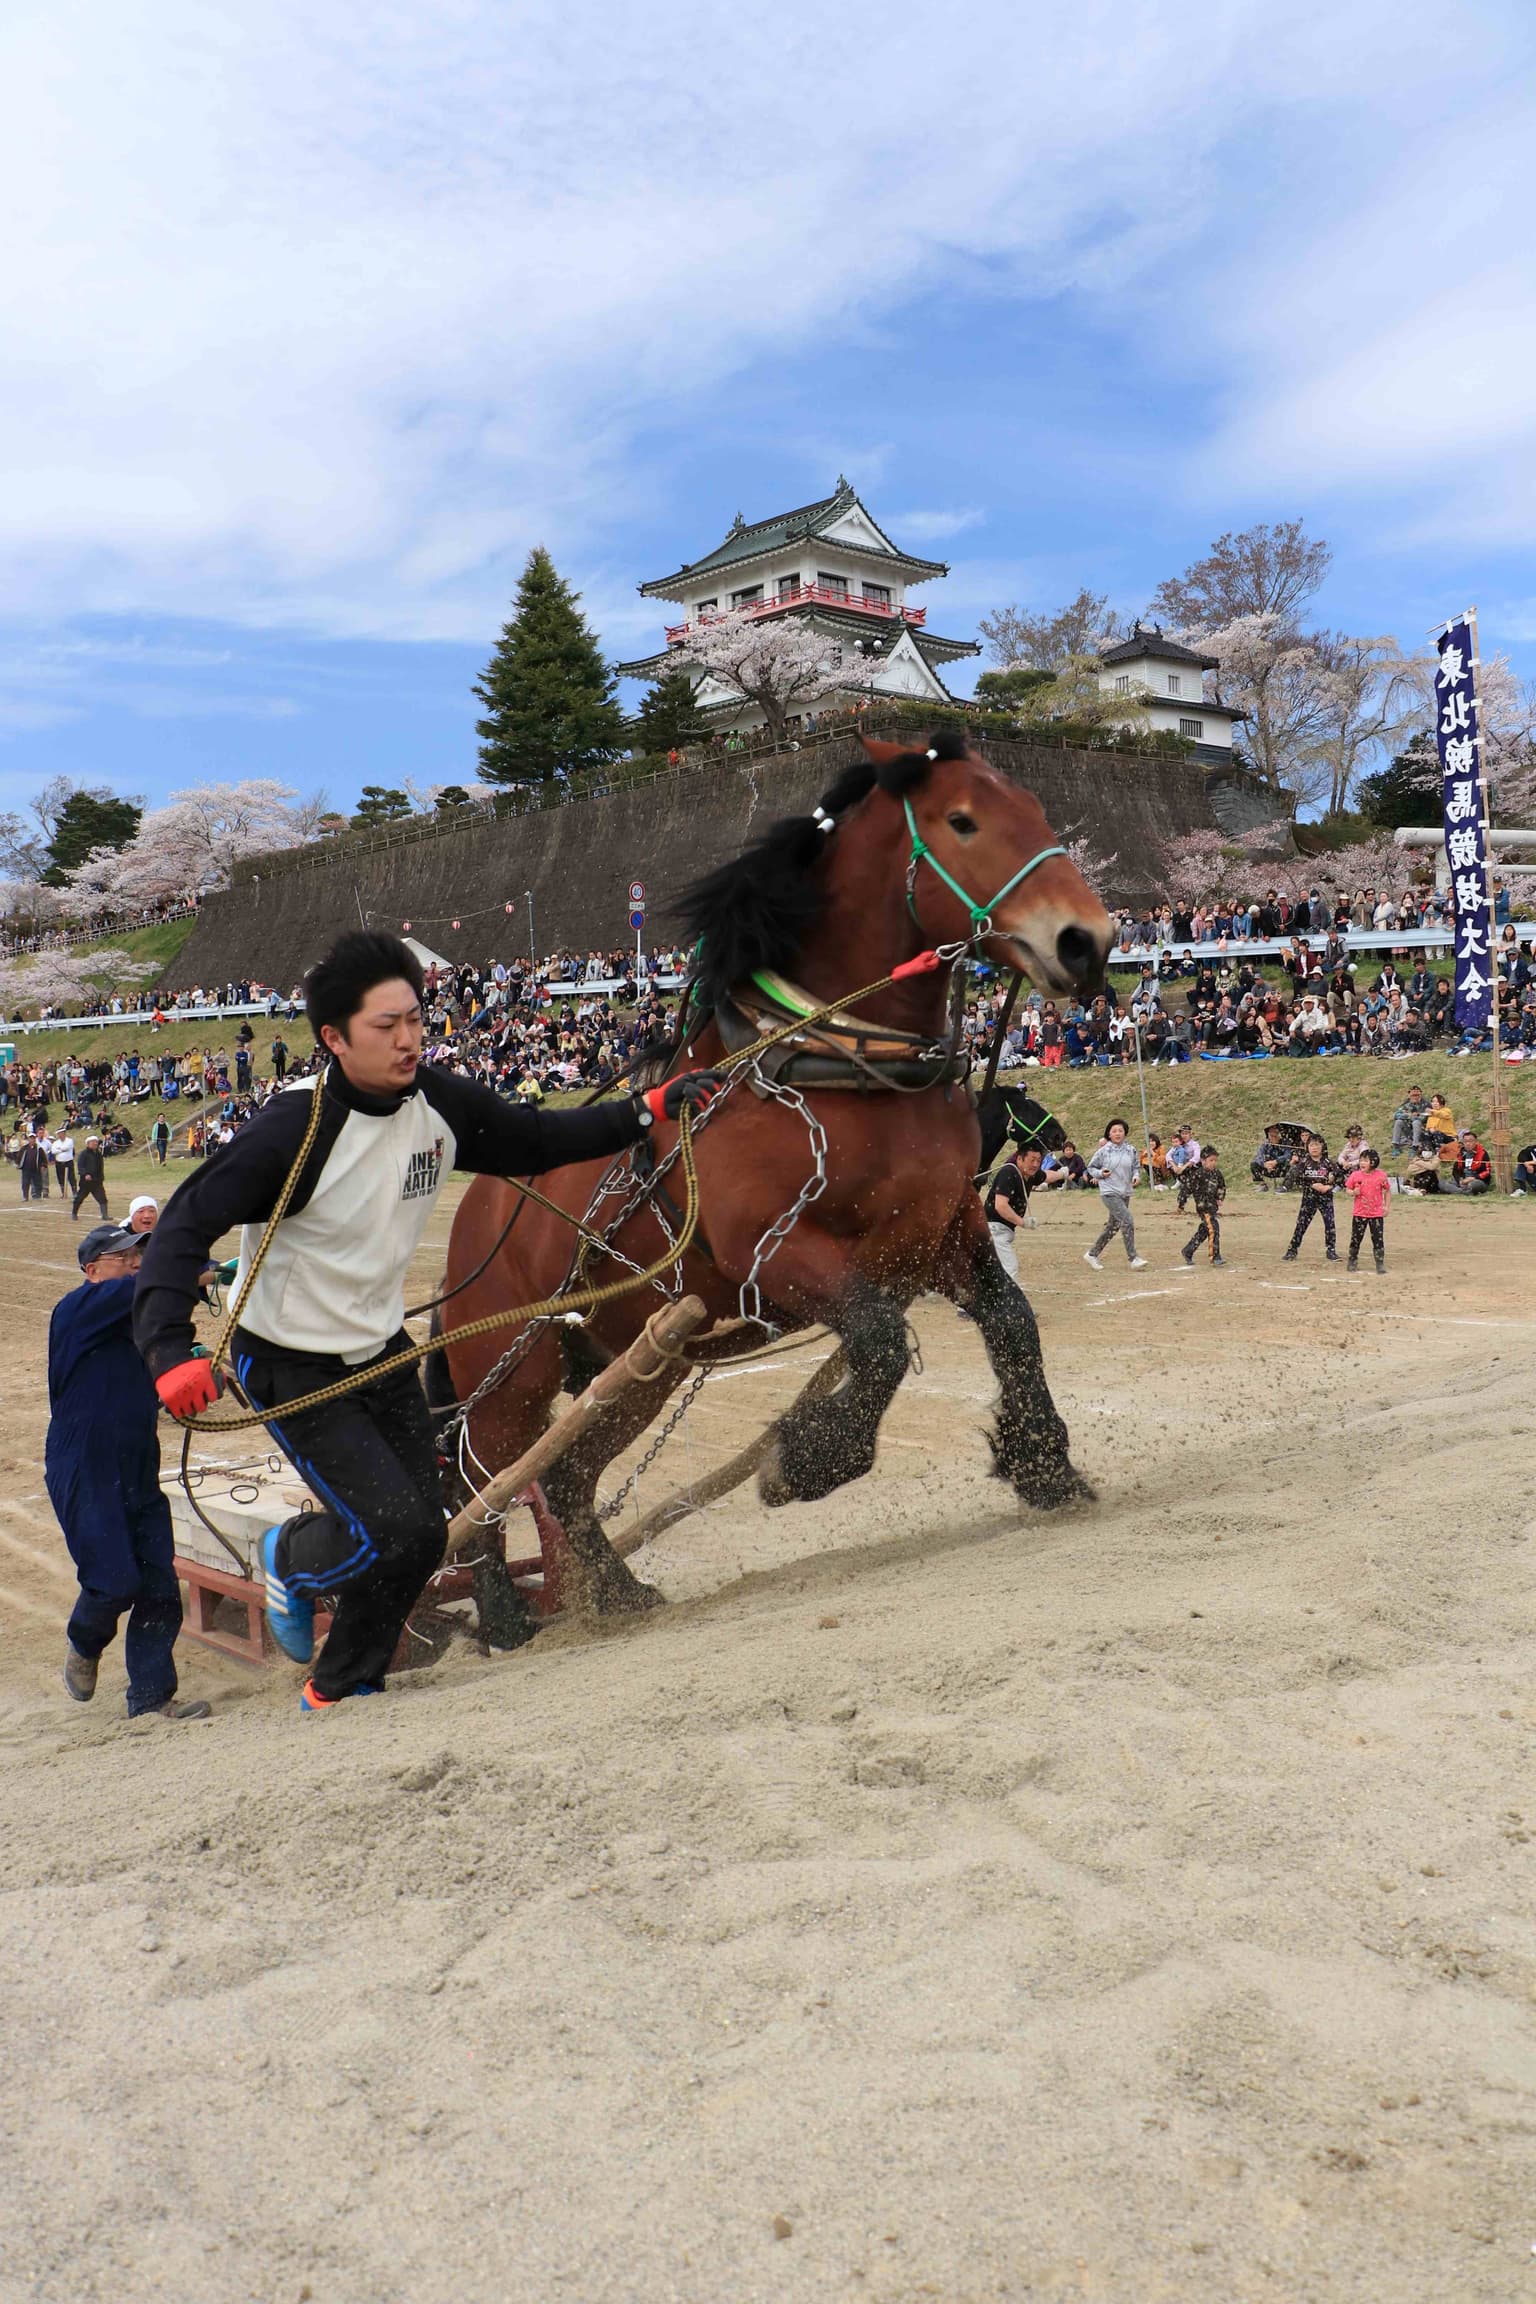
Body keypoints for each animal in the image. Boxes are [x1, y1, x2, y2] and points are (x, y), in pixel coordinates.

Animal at [436, 728, 1112, 1625]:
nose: (1088, 940)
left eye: (1036, 808)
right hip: (512, 1377)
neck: (841, 1068)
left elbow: (1012, 1323)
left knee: (567, 1479)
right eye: (963, 820)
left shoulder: (941, 1233)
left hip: (638, 1366)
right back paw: (504, 1616)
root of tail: (478, 1203)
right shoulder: (774, 1253)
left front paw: (1043, 1464)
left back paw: (617, 1591)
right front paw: (808, 1460)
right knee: (480, 1488)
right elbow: (880, 1342)